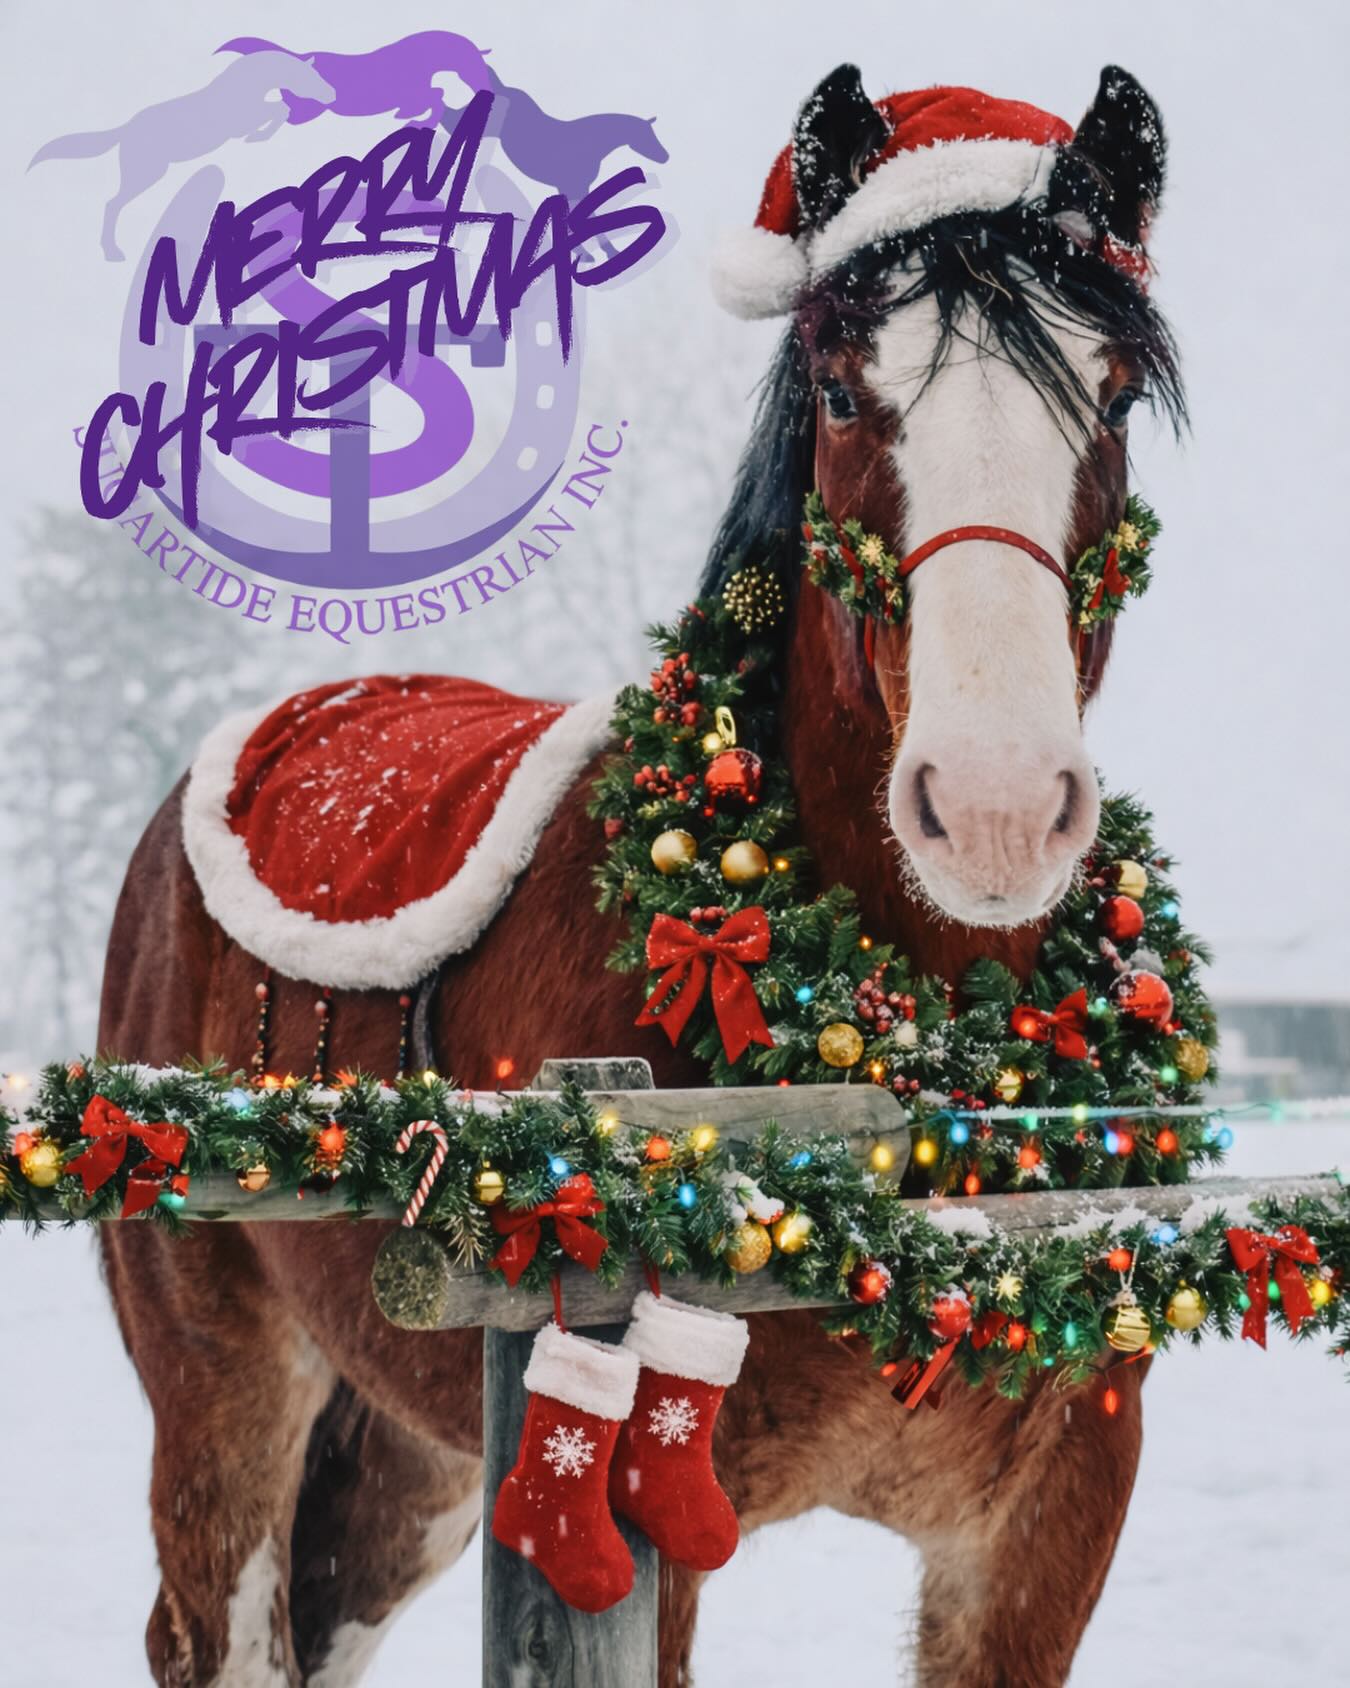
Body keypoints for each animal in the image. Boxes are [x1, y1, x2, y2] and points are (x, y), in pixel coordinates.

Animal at [29, 52, 336, 263]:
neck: (245, 87)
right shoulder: (241, 122)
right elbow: (279, 109)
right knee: (113, 204)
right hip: (145, 173)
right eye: (309, 77)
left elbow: (280, 109)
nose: (332, 94)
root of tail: (127, 130)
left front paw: (260, 136)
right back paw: (112, 251)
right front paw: (258, 136)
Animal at [98, 61, 1184, 1687]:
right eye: (844, 388)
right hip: (223, 1395)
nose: (993, 808)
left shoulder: (1048, 1525)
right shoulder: (642, 1524)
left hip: (415, 1451)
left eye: (1109, 393)